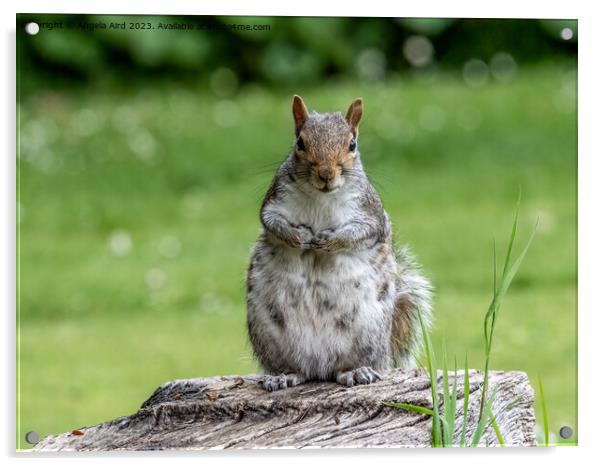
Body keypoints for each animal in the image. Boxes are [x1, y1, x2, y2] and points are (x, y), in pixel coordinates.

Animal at [244, 96, 432, 392]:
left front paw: (328, 241)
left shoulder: (370, 213)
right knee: (293, 366)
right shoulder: (275, 201)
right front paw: (300, 238)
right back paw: (284, 375)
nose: (325, 174)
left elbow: (360, 232)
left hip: (368, 332)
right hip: (269, 333)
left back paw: (356, 371)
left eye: (352, 144)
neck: (320, 198)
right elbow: (273, 223)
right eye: (300, 143)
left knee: (350, 365)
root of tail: (319, 367)